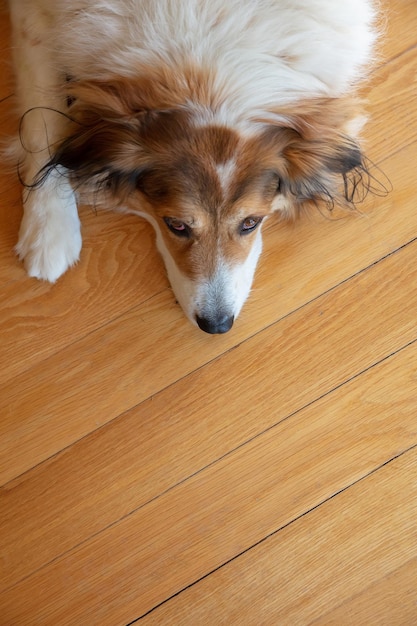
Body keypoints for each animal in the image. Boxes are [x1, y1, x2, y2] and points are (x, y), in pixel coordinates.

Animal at [9, 0, 378, 332]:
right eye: (176, 225)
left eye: (251, 222)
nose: (217, 325)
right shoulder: (33, 17)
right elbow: (42, 119)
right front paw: (48, 228)